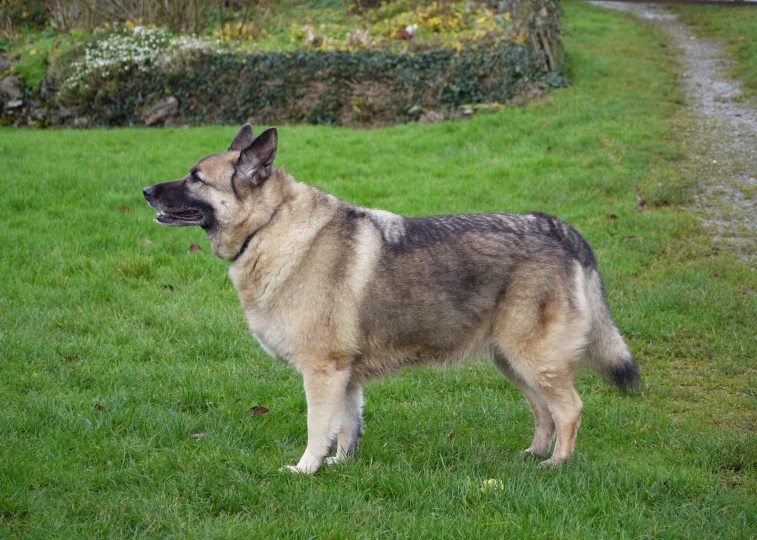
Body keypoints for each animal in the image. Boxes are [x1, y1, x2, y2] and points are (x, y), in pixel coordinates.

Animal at [142, 124, 636, 474]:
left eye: (195, 178)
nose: (145, 191)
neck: (271, 224)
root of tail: (555, 227)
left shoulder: (322, 371)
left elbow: (318, 427)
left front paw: (306, 469)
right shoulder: (344, 376)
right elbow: (347, 426)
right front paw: (340, 464)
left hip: (535, 358)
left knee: (569, 409)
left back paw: (558, 463)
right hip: (513, 361)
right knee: (543, 411)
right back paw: (534, 454)